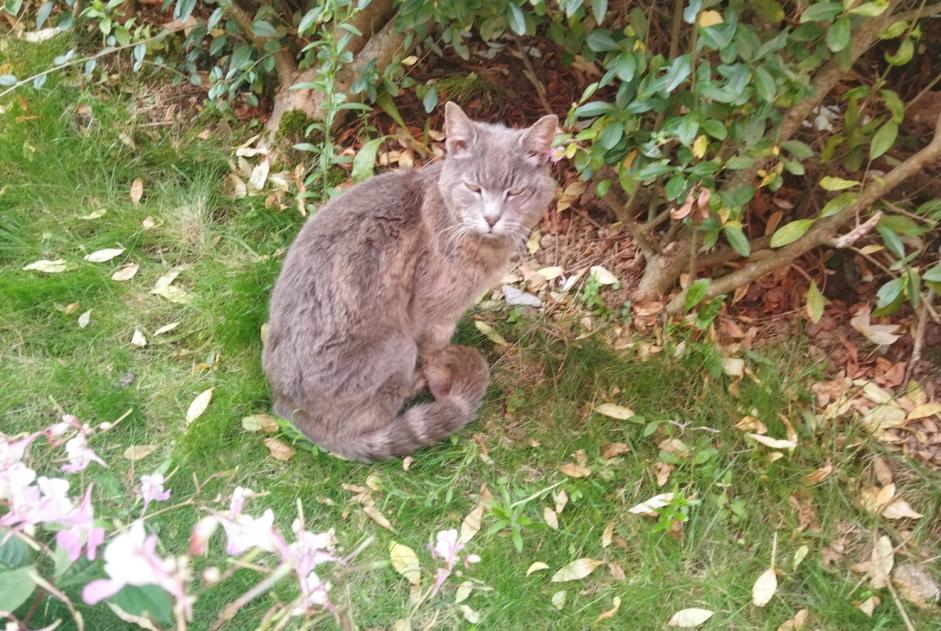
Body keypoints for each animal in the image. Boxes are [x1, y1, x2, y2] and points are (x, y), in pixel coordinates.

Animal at [262, 101, 560, 462]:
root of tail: (287, 408)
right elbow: (435, 354)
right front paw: (443, 387)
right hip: (398, 344)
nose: (492, 218)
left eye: (515, 192)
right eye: (473, 188)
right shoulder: (435, 315)